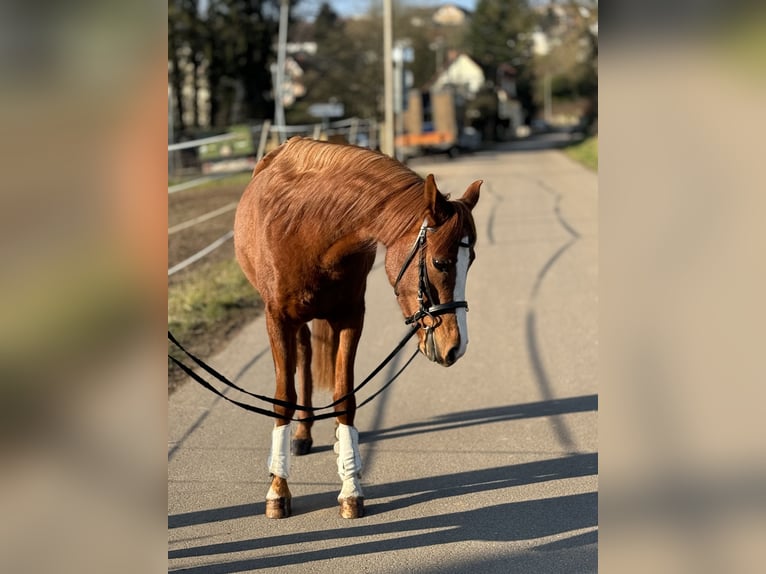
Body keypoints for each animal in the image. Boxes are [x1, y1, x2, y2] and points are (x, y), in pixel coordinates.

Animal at [237, 137, 484, 520]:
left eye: (470, 261)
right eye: (440, 263)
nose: (456, 346)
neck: (309, 229)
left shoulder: (351, 317)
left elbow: (345, 398)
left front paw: (350, 486)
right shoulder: (277, 318)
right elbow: (283, 399)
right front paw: (278, 489)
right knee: (304, 356)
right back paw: (302, 434)